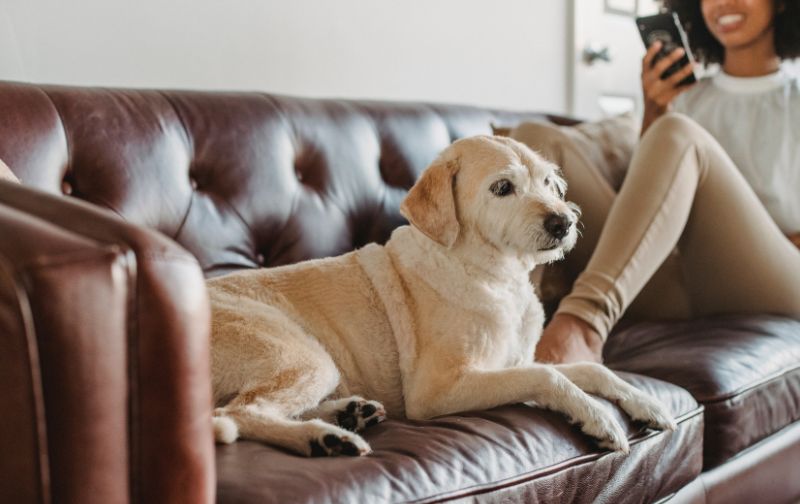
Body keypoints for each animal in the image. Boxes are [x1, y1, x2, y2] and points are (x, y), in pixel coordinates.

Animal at [208, 134, 676, 456]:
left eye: (547, 182)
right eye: (502, 188)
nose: (564, 222)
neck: (494, 276)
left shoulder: (515, 362)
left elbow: (592, 371)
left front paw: (643, 402)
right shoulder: (439, 389)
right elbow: (549, 377)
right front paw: (597, 416)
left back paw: (348, 414)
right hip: (305, 356)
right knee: (236, 413)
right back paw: (323, 439)